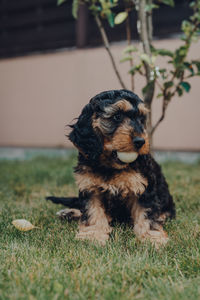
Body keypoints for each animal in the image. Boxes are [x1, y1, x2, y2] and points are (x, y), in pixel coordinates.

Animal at [47, 89, 175, 248]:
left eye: (141, 118)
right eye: (117, 116)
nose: (141, 141)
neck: (111, 166)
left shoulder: (144, 187)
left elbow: (148, 214)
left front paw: (151, 238)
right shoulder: (90, 187)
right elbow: (92, 212)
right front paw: (93, 235)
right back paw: (69, 213)